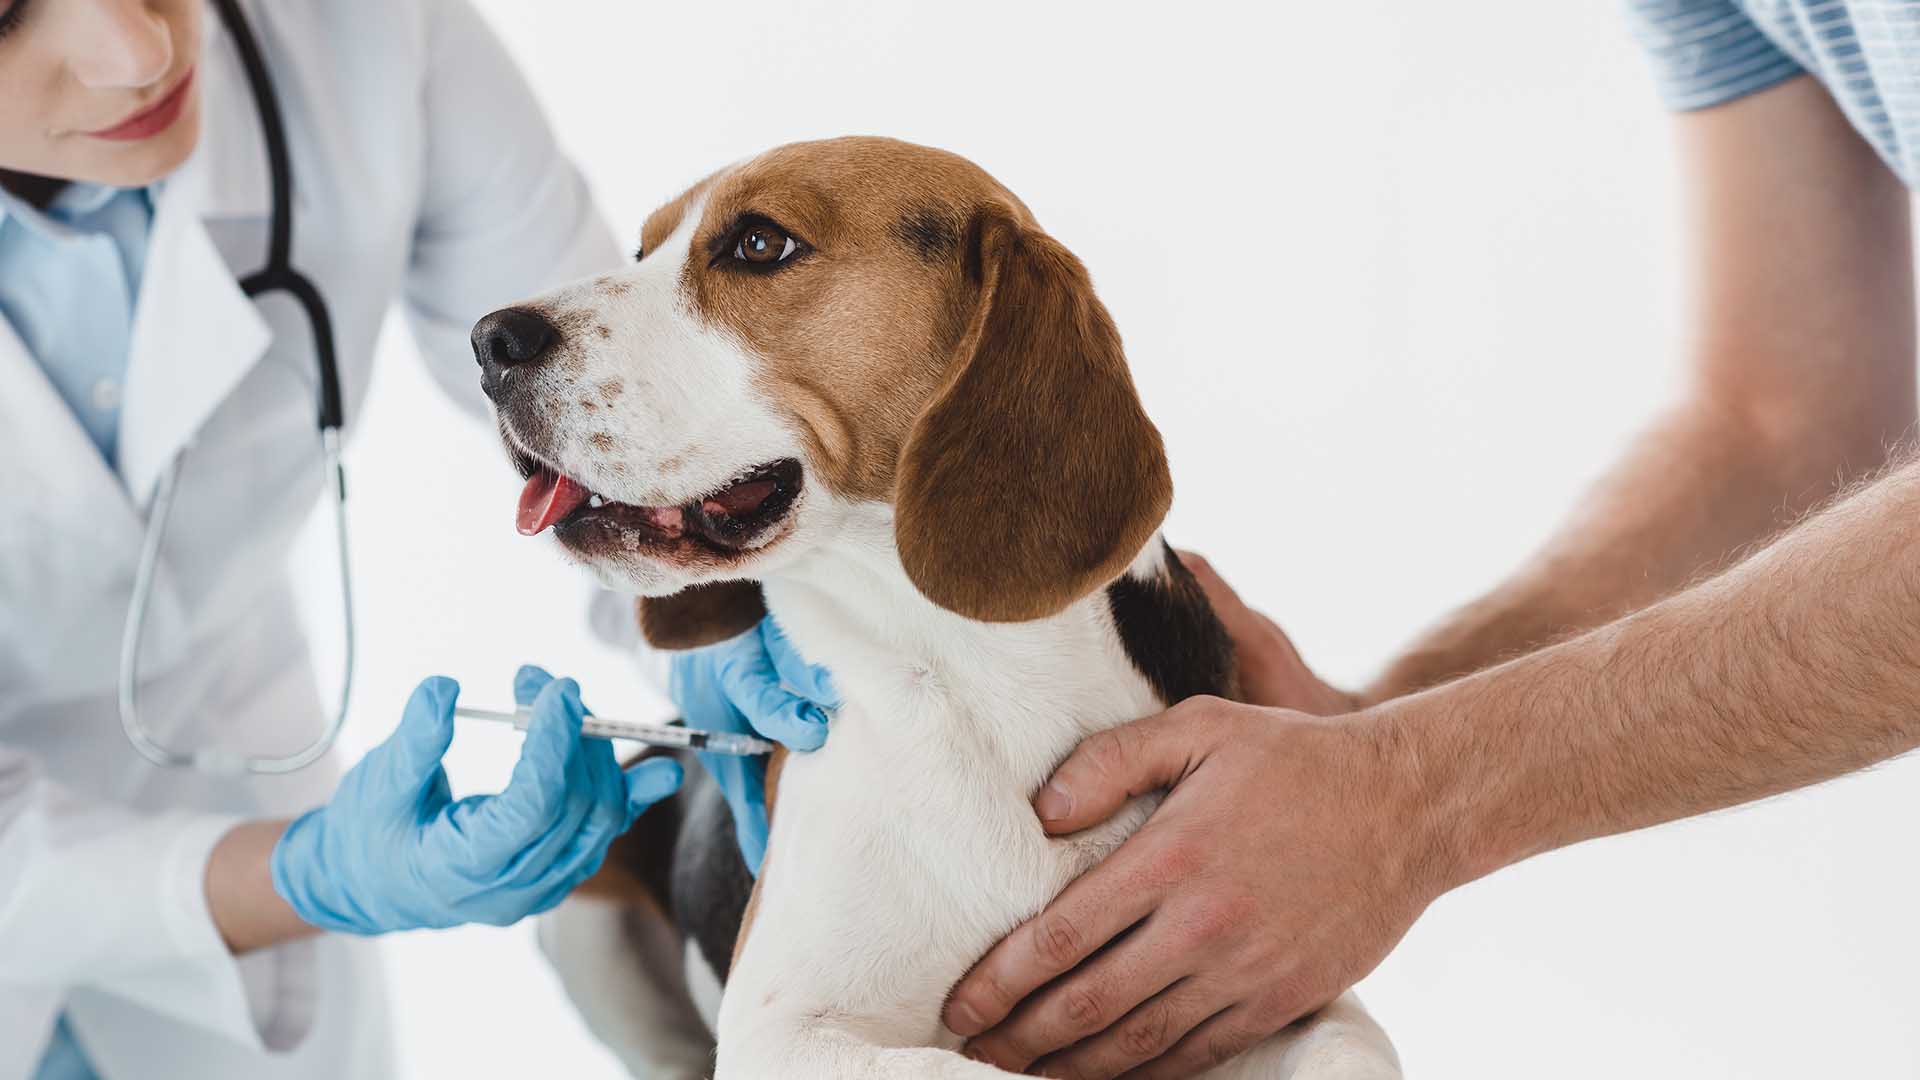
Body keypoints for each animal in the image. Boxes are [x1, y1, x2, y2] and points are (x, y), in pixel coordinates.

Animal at [464, 138, 1397, 1068]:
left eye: (759, 244)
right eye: (641, 250)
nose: (490, 339)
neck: (977, 682)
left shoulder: (1255, 992)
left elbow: (1350, 1049)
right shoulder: (788, 1035)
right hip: (583, 908)